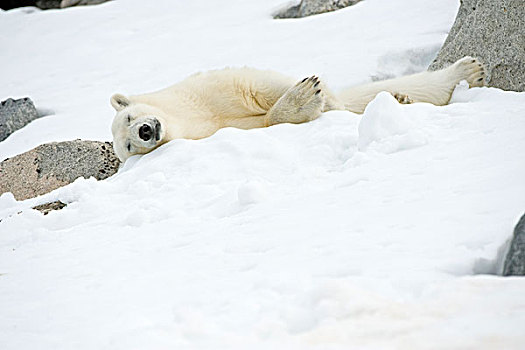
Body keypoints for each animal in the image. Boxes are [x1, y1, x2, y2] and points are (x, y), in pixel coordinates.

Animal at [109, 56, 484, 162]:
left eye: (129, 116)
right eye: (129, 146)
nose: (146, 131)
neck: (191, 119)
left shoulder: (204, 91)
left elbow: (257, 86)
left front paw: (315, 93)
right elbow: (267, 123)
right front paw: (306, 98)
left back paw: (466, 72)